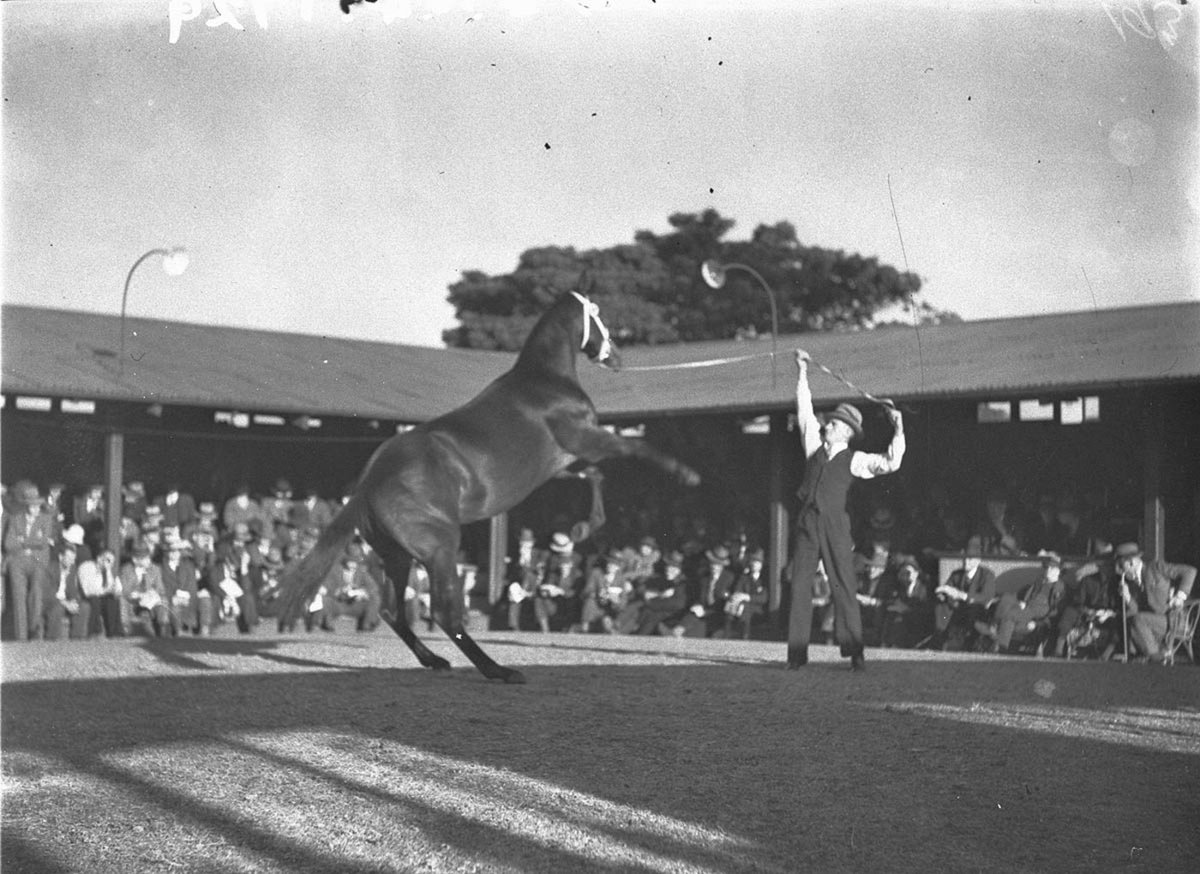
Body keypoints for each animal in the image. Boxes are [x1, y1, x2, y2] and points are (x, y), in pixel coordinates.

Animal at [276, 289, 701, 683]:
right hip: (440, 550)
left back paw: (436, 661)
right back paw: (497, 670)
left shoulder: (562, 462)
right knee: (444, 614)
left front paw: (584, 526)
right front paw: (687, 475)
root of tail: (368, 485)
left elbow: (593, 477)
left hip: (396, 556)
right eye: (597, 316)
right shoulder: (588, 440)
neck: (545, 382)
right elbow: (636, 449)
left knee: (392, 611)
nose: (618, 357)